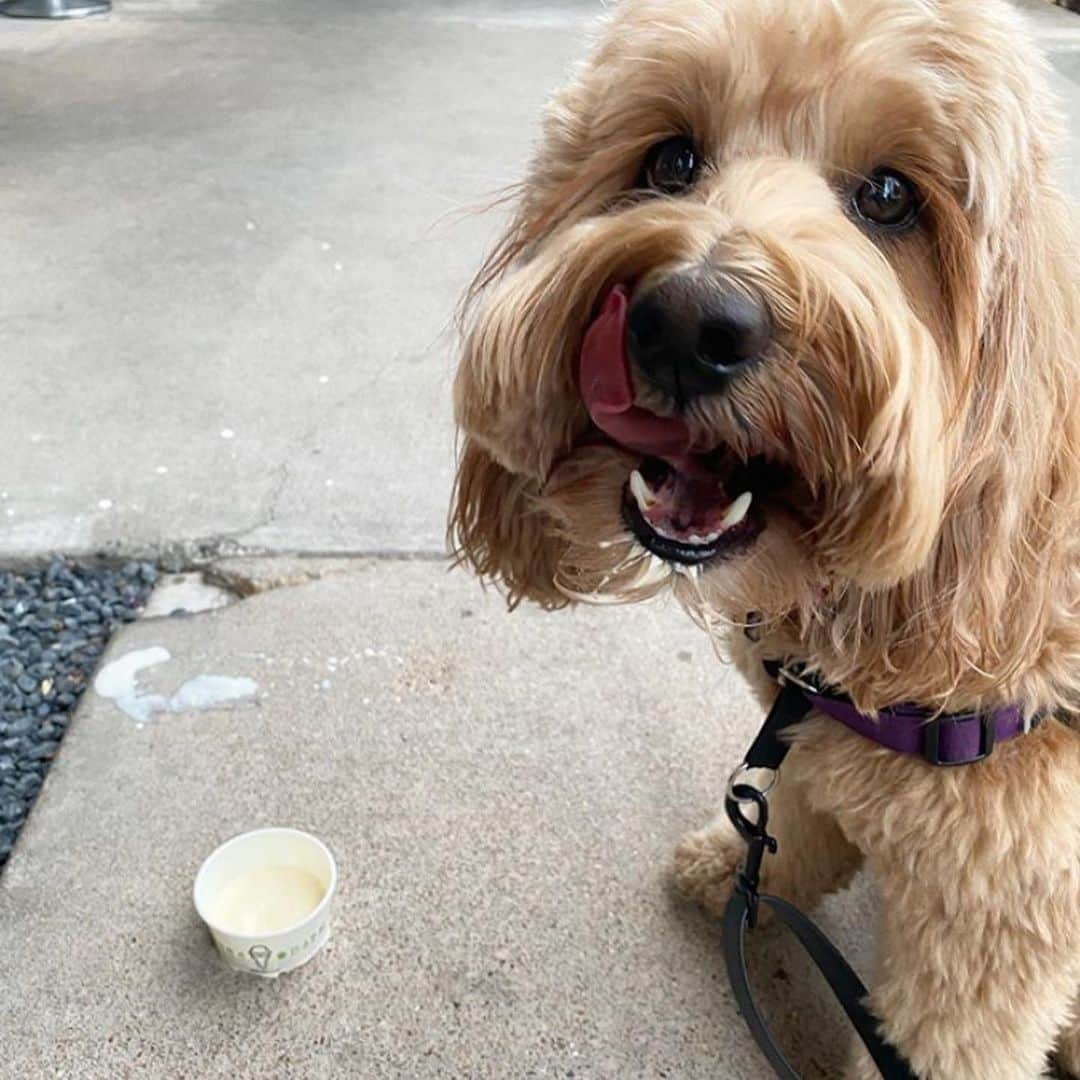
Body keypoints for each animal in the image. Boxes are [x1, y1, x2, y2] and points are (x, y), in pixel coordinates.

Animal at [447, 4, 1080, 1075]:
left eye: (890, 196)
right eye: (671, 159)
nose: (684, 325)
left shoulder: (1000, 921)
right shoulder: (815, 746)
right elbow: (794, 821)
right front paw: (729, 869)